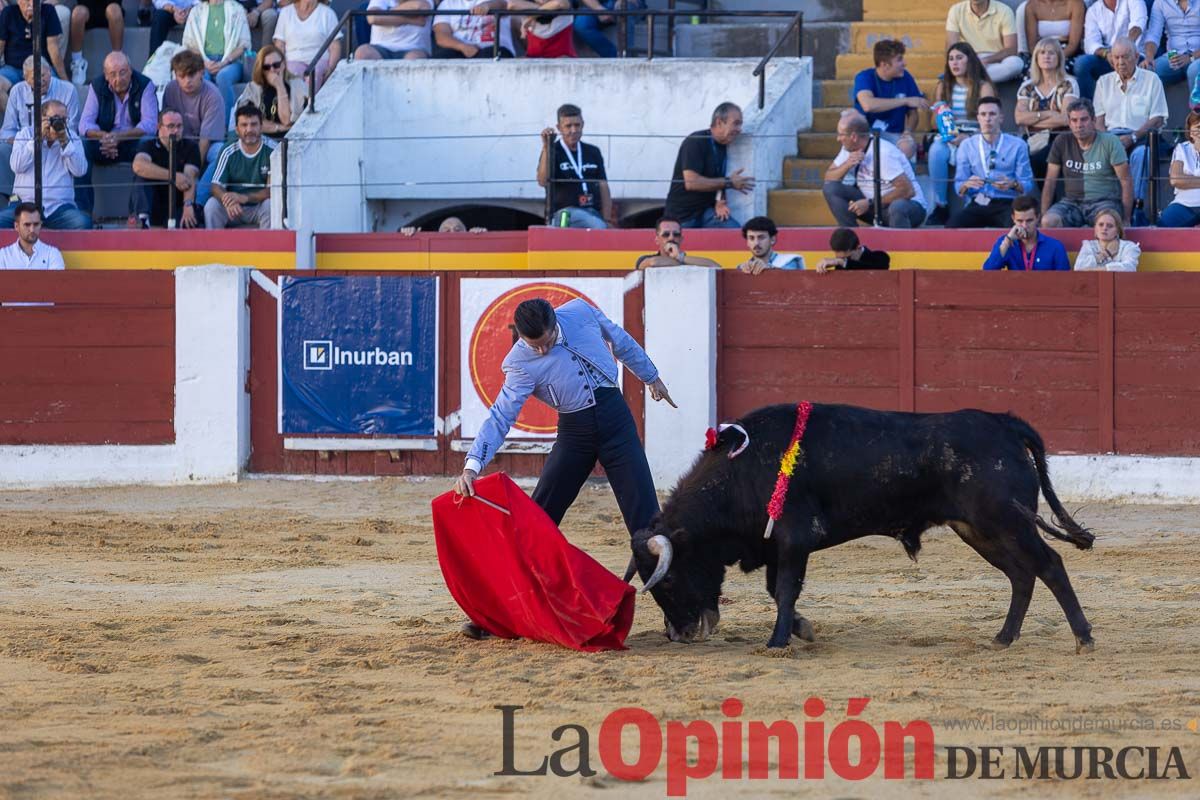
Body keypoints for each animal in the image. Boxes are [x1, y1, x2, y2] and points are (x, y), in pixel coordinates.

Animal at [628, 407, 1099, 652]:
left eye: (667, 581)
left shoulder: (794, 538)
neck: (742, 470)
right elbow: (776, 590)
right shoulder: (776, 545)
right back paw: (1003, 637)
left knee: (1049, 564)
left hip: (1005, 521)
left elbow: (784, 590)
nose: (679, 634)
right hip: (978, 530)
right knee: (1022, 574)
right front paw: (801, 629)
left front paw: (778, 641)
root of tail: (1003, 422)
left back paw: (1082, 638)